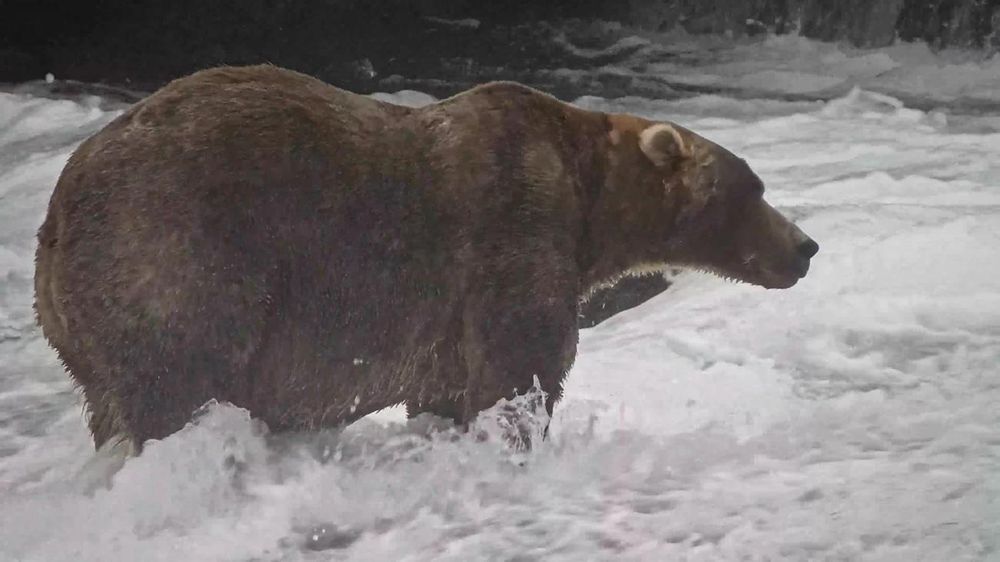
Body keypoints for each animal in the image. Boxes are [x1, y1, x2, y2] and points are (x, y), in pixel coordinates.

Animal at [34, 64, 818, 452]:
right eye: (753, 188)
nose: (805, 247)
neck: (589, 199)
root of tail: (57, 212)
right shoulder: (512, 229)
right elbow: (520, 365)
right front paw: (517, 436)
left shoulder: (445, 320)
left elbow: (446, 388)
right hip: (178, 252)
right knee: (178, 377)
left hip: (79, 325)